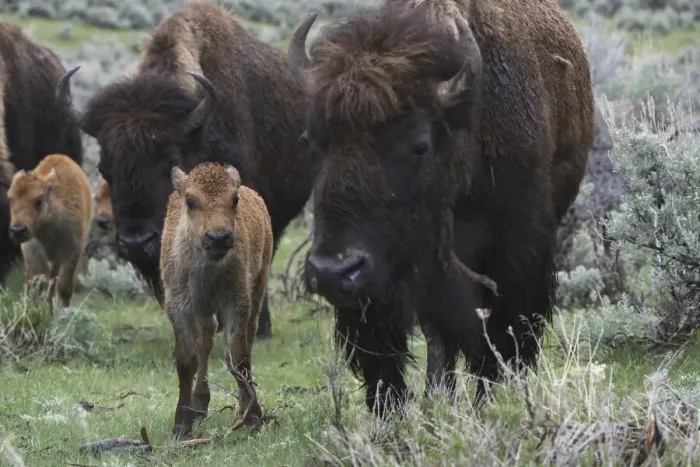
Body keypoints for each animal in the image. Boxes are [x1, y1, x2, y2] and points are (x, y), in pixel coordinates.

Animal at [288, 0, 595, 417]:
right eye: (312, 140)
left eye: (420, 145)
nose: (332, 272)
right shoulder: (393, 275)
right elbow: (392, 348)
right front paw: (394, 413)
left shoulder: (516, 252)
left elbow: (500, 337)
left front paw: (490, 403)